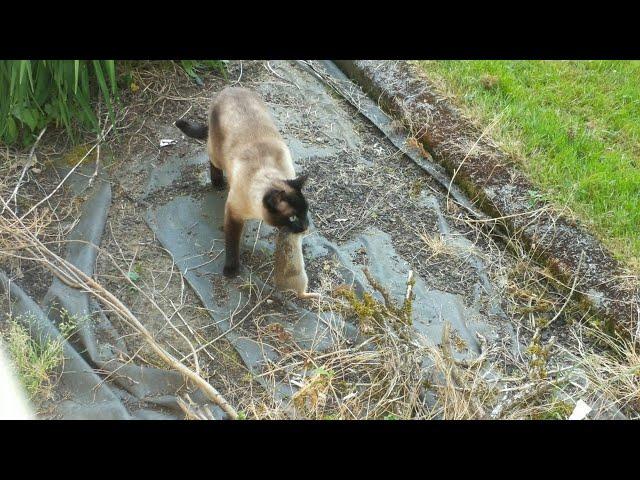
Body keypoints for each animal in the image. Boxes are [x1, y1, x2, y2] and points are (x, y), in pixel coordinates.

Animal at [176, 86, 312, 278]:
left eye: (306, 212)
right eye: (293, 217)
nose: (306, 226)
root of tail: (229, 88)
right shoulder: (233, 214)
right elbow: (232, 243)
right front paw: (231, 270)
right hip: (216, 154)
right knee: (212, 160)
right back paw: (217, 182)